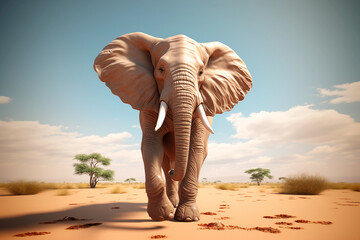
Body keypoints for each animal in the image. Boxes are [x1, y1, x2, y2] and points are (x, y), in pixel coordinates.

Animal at [94, 32, 252, 222]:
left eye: (201, 72)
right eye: (161, 69)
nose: (172, 172)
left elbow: (197, 147)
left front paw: (188, 218)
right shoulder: (147, 102)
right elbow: (151, 144)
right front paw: (162, 215)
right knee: (164, 160)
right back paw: (172, 202)